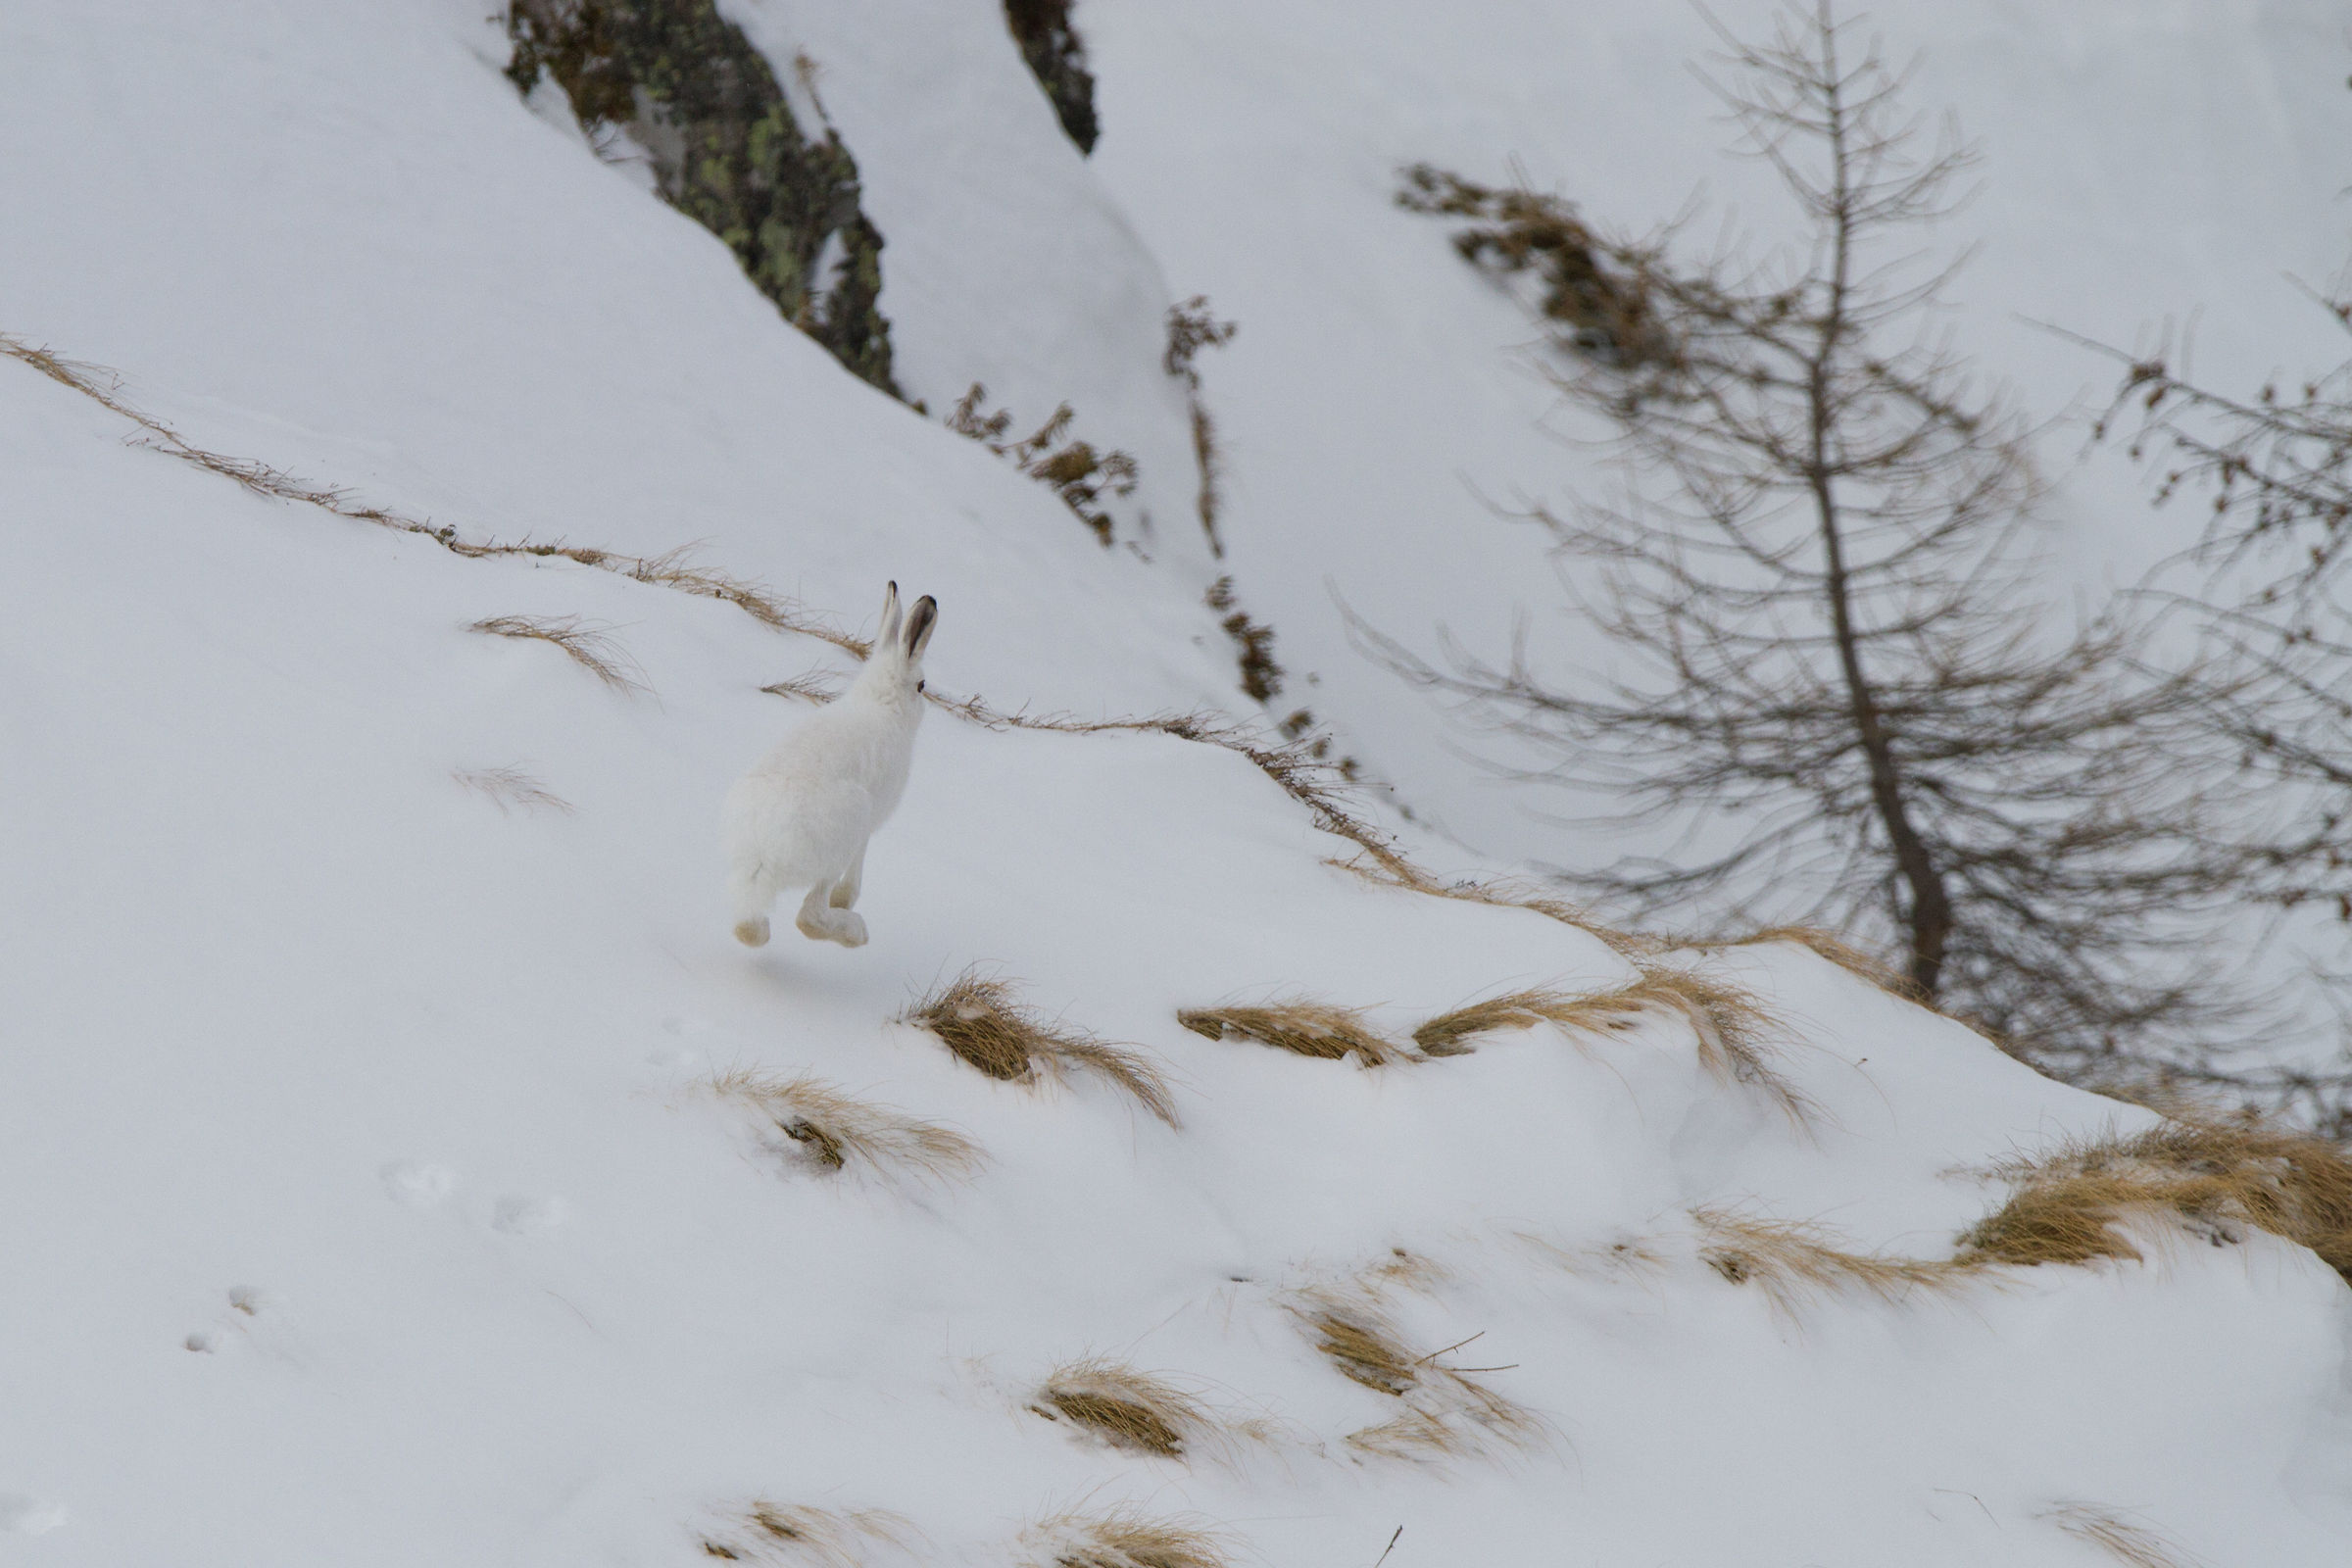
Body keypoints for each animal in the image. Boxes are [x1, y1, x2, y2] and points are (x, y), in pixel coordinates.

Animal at [724, 582, 938, 948]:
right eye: (921, 686)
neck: (879, 702)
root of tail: (763, 853)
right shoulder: (870, 822)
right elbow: (856, 872)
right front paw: (845, 899)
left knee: (747, 924)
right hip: (844, 834)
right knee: (809, 917)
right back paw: (856, 932)